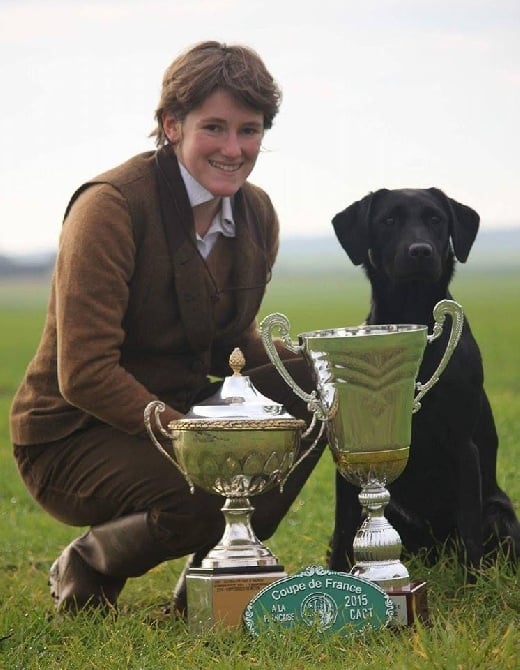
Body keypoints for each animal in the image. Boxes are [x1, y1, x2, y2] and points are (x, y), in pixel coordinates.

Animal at [330, 186, 520, 576]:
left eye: (436, 219)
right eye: (389, 220)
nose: (421, 251)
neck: (412, 312)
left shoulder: (463, 444)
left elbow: (469, 528)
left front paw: (472, 584)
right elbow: (343, 528)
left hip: (498, 512)